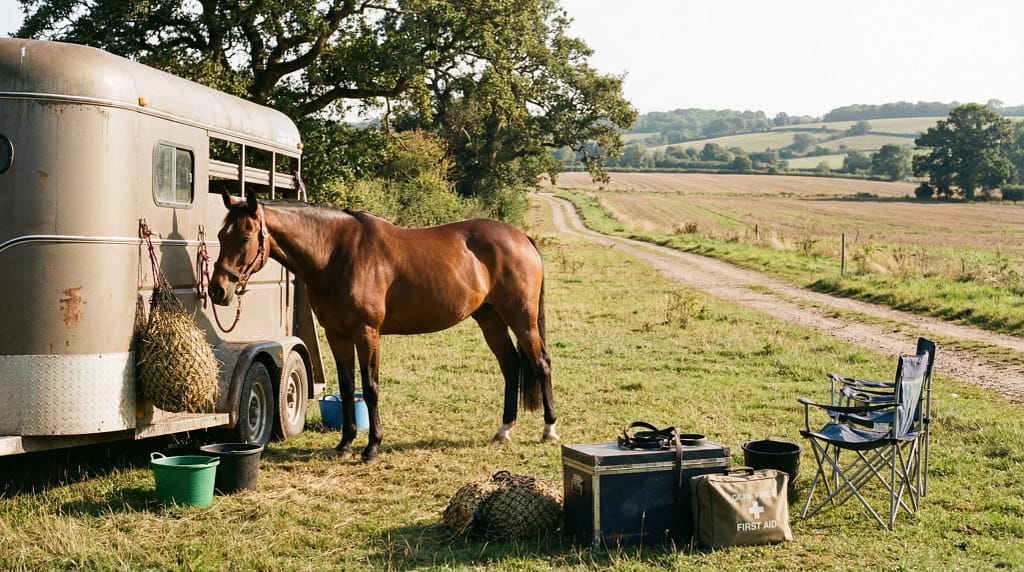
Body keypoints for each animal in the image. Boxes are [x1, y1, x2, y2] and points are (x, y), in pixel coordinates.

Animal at [208, 189, 558, 462]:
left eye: (244, 237)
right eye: (220, 235)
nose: (218, 290)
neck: (336, 253)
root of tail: (522, 237)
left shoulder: (367, 333)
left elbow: (371, 387)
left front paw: (372, 447)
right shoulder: (337, 335)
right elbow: (348, 386)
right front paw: (345, 444)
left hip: (522, 319)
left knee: (540, 364)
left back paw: (549, 429)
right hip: (490, 319)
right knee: (511, 366)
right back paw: (504, 430)